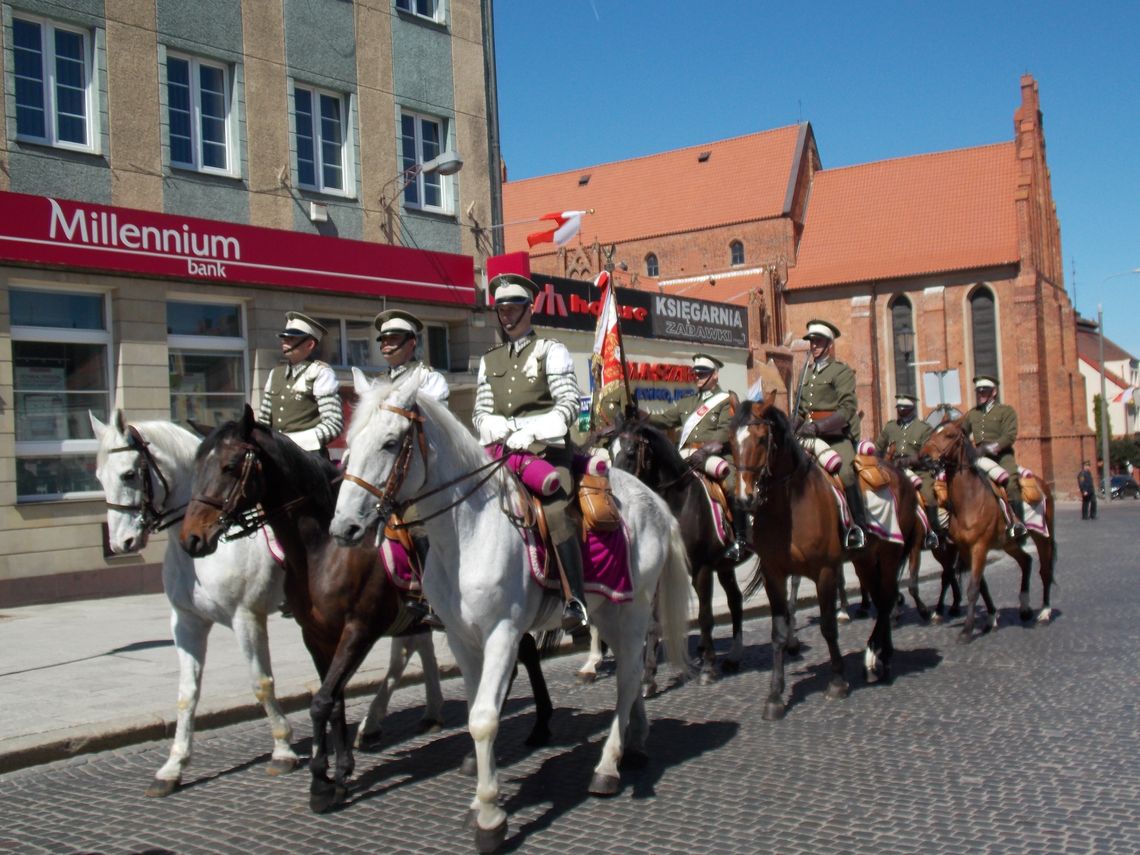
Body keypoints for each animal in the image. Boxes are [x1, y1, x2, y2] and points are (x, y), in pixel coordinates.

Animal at [91, 412, 444, 793]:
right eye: (98, 476)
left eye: (129, 474)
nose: (121, 542)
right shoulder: (186, 621)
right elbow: (187, 693)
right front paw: (173, 766)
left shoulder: (247, 616)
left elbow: (261, 683)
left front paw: (283, 749)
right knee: (416, 647)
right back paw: (421, 714)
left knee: (407, 651)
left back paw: (383, 721)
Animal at [177, 408, 551, 816]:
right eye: (196, 466)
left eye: (229, 466)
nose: (191, 539)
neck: (323, 549)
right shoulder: (317, 636)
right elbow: (335, 701)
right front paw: (340, 771)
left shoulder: (359, 629)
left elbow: (322, 702)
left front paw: (321, 782)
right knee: (520, 653)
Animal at [326, 369, 688, 855]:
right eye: (349, 443)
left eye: (388, 442)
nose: (343, 527)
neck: (466, 530)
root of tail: (654, 501)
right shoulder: (461, 637)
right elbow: (476, 711)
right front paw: (483, 796)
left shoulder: (502, 633)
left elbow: (483, 719)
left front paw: (489, 816)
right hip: (607, 608)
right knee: (628, 674)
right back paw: (635, 740)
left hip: (632, 607)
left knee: (629, 675)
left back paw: (607, 767)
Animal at [729, 405, 916, 720]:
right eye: (731, 441)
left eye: (762, 440)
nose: (744, 499)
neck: (791, 503)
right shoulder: (773, 573)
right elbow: (778, 632)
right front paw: (775, 696)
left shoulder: (825, 571)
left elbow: (828, 626)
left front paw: (837, 682)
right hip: (864, 560)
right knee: (881, 598)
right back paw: (875, 655)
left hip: (890, 554)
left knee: (887, 599)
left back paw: (881, 658)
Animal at [916, 419, 1057, 647]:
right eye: (931, 433)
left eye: (949, 435)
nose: (924, 457)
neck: (969, 499)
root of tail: (1041, 482)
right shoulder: (966, 549)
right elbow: (981, 585)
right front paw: (990, 618)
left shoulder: (979, 546)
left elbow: (973, 588)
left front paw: (966, 631)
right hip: (1008, 543)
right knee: (1025, 561)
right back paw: (1024, 608)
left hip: (1043, 537)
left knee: (1045, 570)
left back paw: (1044, 613)